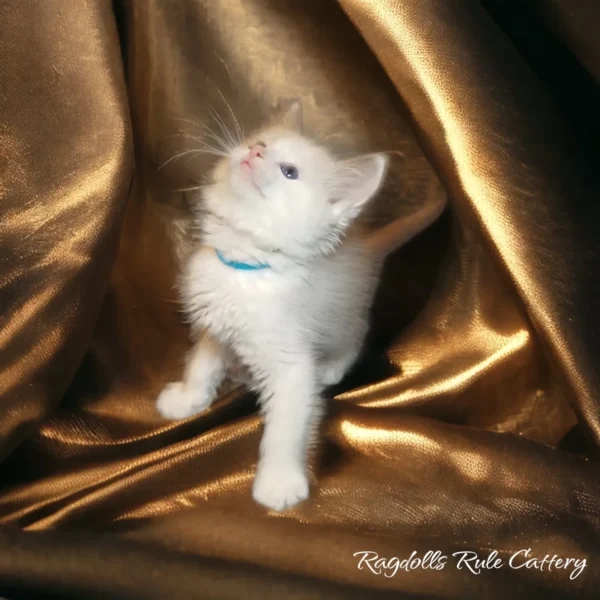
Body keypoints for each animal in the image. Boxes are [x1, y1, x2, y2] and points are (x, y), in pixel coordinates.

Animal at [156, 102, 446, 510]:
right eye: (261, 143)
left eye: (289, 172)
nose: (254, 152)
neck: (245, 267)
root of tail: (365, 248)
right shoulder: (214, 327)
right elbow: (201, 366)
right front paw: (188, 399)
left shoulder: (290, 364)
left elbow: (285, 427)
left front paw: (279, 483)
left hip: (343, 318)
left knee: (355, 335)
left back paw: (332, 368)